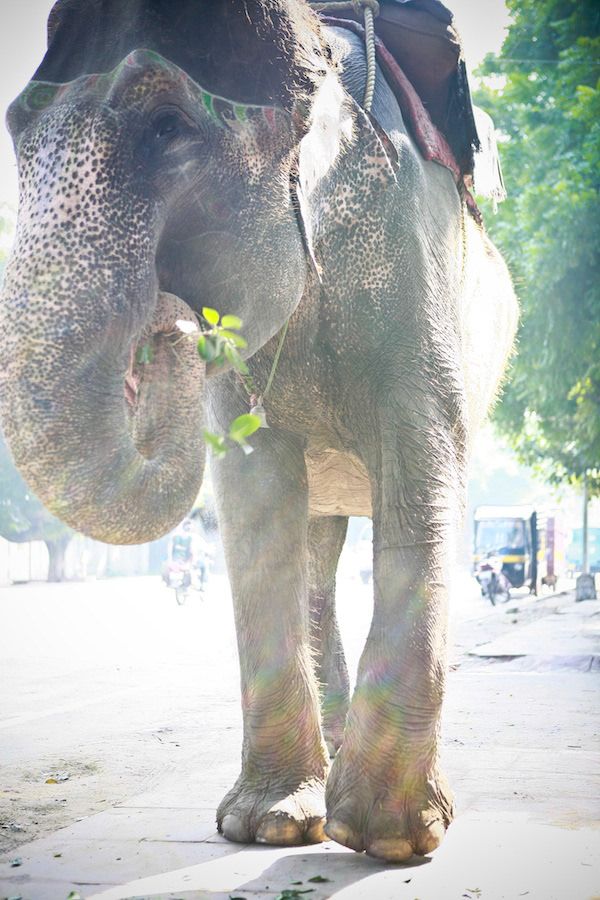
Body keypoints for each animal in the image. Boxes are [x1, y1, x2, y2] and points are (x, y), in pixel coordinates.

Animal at [0, 0, 517, 862]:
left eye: (167, 125)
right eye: (17, 130)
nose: (173, 328)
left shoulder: (413, 267)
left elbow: (421, 466)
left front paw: (387, 838)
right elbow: (254, 494)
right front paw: (269, 826)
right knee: (316, 548)